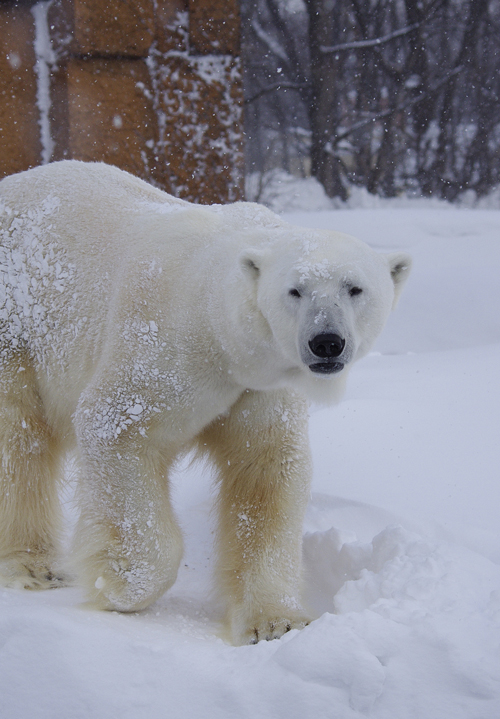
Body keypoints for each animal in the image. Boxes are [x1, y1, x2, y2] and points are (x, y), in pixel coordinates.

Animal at [0, 165, 410, 648]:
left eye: (355, 288)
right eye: (295, 290)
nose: (326, 341)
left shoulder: (259, 388)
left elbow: (267, 471)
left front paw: (276, 621)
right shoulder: (163, 347)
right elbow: (116, 427)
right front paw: (118, 583)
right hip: (17, 321)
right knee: (18, 438)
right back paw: (34, 566)